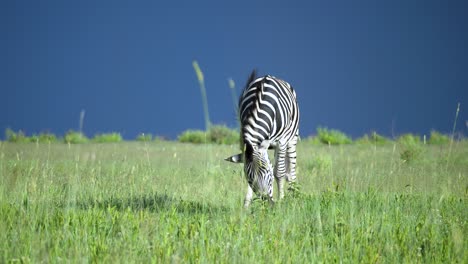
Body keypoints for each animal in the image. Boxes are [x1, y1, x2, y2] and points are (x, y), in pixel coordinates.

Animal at [226, 71, 300, 207]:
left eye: (267, 173)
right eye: (250, 179)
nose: (266, 201)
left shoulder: (281, 141)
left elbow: (279, 172)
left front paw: (281, 200)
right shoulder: (244, 138)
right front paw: (246, 204)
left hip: (292, 138)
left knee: (291, 168)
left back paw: (294, 195)